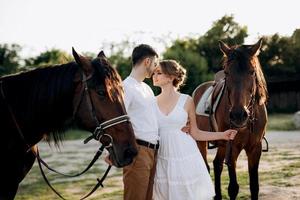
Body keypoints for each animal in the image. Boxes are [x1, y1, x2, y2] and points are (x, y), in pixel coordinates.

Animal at [193, 39, 268, 200]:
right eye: (227, 73)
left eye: (252, 72)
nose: (238, 115)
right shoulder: (232, 147)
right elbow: (233, 188)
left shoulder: (255, 148)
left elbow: (254, 186)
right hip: (201, 141)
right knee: (207, 166)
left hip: (222, 145)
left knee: (217, 164)